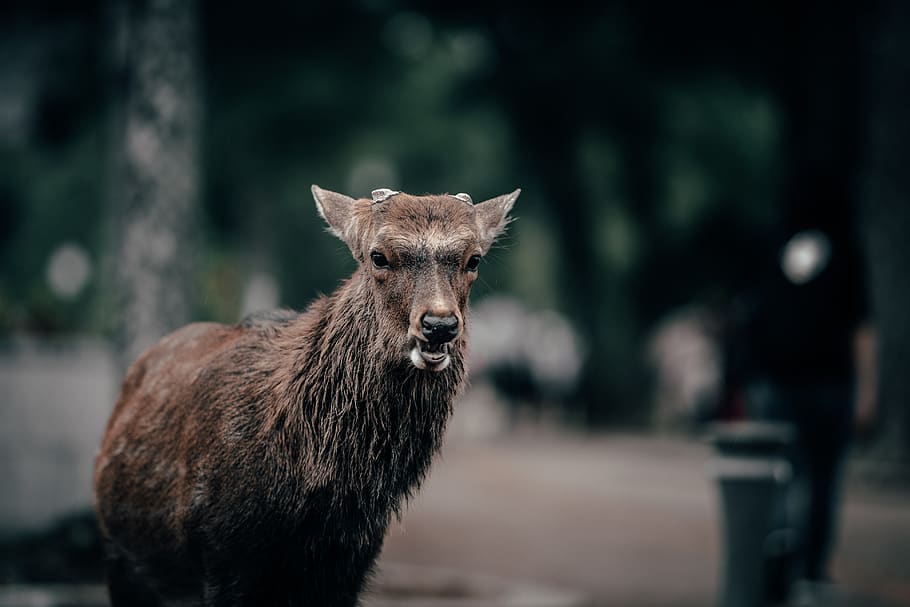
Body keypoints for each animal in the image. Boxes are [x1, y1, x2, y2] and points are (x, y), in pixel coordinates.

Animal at [92, 185, 519, 606]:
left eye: (473, 259)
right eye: (378, 257)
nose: (439, 325)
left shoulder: (349, 566)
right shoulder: (222, 554)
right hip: (122, 560)